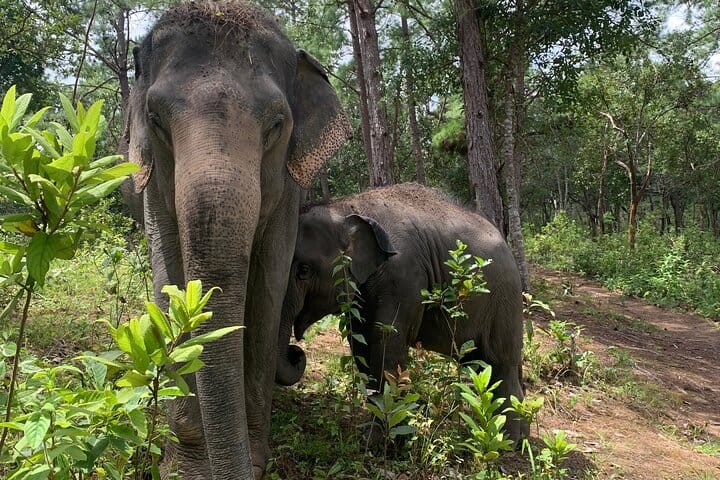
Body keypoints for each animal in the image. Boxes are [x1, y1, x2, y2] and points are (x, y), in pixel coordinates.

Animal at [123, 3, 351, 479]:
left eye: (277, 124)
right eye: (156, 121)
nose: (298, 354)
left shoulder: (287, 189)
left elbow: (266, 291)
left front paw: (256, 456)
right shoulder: (153, 190)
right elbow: (170, 284)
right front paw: (187, 468)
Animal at [276, 183, 528, 444]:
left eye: (303, 270)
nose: (296, 353)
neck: (346, 206)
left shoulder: (405, 277)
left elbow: (387, 342)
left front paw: (381, 441)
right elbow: (363, 347)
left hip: (504, 300)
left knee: (500, 363)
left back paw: (507, 442)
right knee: (483, 366)